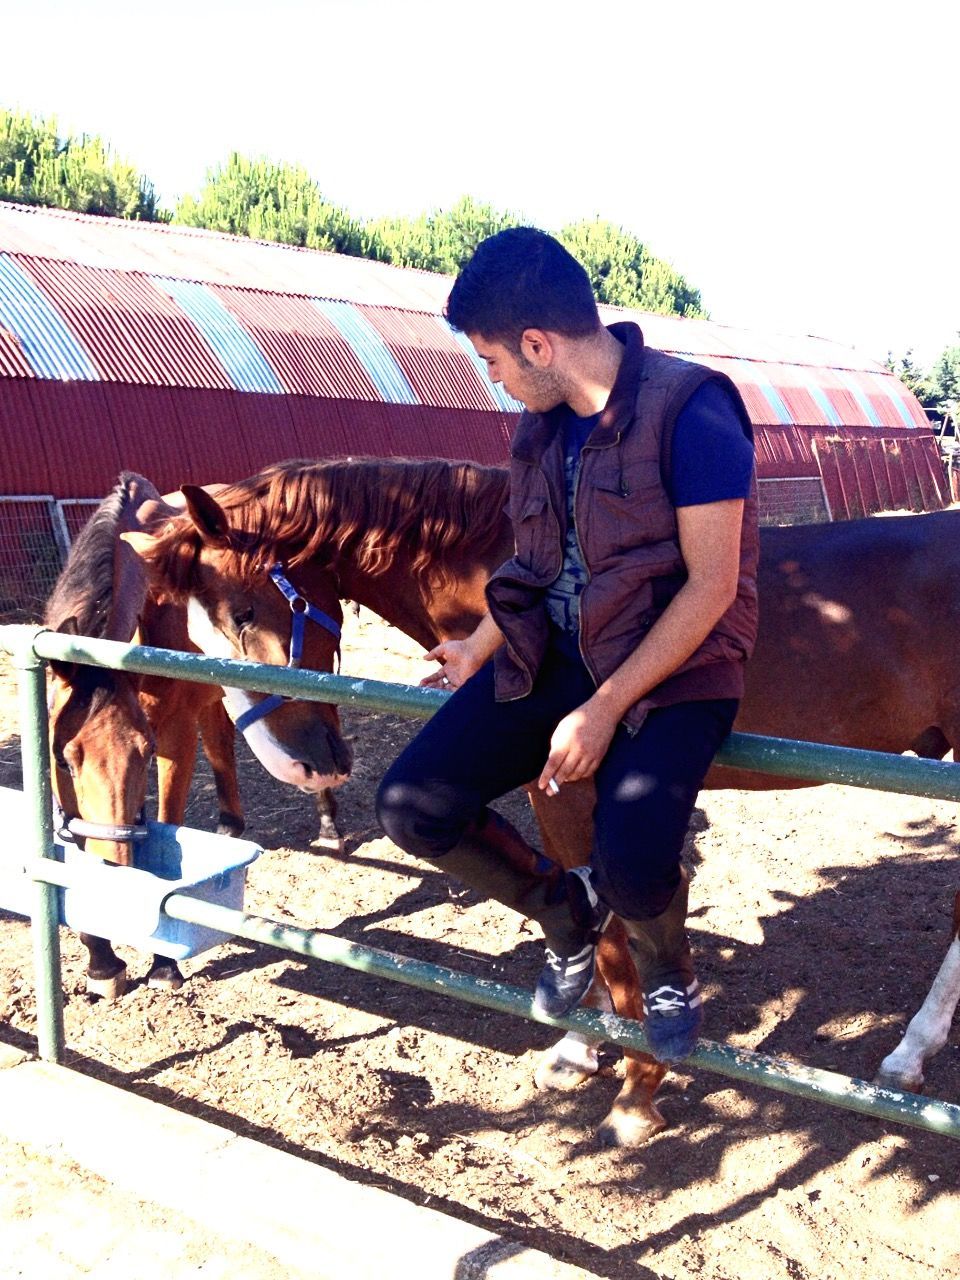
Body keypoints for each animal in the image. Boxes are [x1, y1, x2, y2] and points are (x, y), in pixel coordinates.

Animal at [45, 471, 350, 998]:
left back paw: (329, 824)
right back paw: (228, 826)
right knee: (224, 749)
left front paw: (163, 963)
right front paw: (101, 957)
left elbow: (168, 819)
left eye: (146, 753)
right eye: (67, 758)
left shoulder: (173, 735)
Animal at [124, 455, 960, 1136]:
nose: (304, 767)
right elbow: (589, 916)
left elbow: (618, 936)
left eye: (242, 611)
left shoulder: (572, 792)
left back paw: (907, 1054)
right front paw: (581, 1047)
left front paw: (636, 1093)